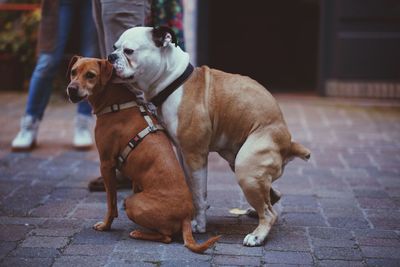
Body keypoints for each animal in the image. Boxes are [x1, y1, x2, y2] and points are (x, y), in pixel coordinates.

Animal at [67, 56, 220, 253]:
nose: (71, 89)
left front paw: (106, 225)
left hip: (132, 203)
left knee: (167, 237)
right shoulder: (133, 176)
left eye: (90, 75)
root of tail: (186, 218)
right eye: (73, 72)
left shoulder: (106, 164)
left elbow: (111, 202)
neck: (116, 103)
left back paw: (139, 233)